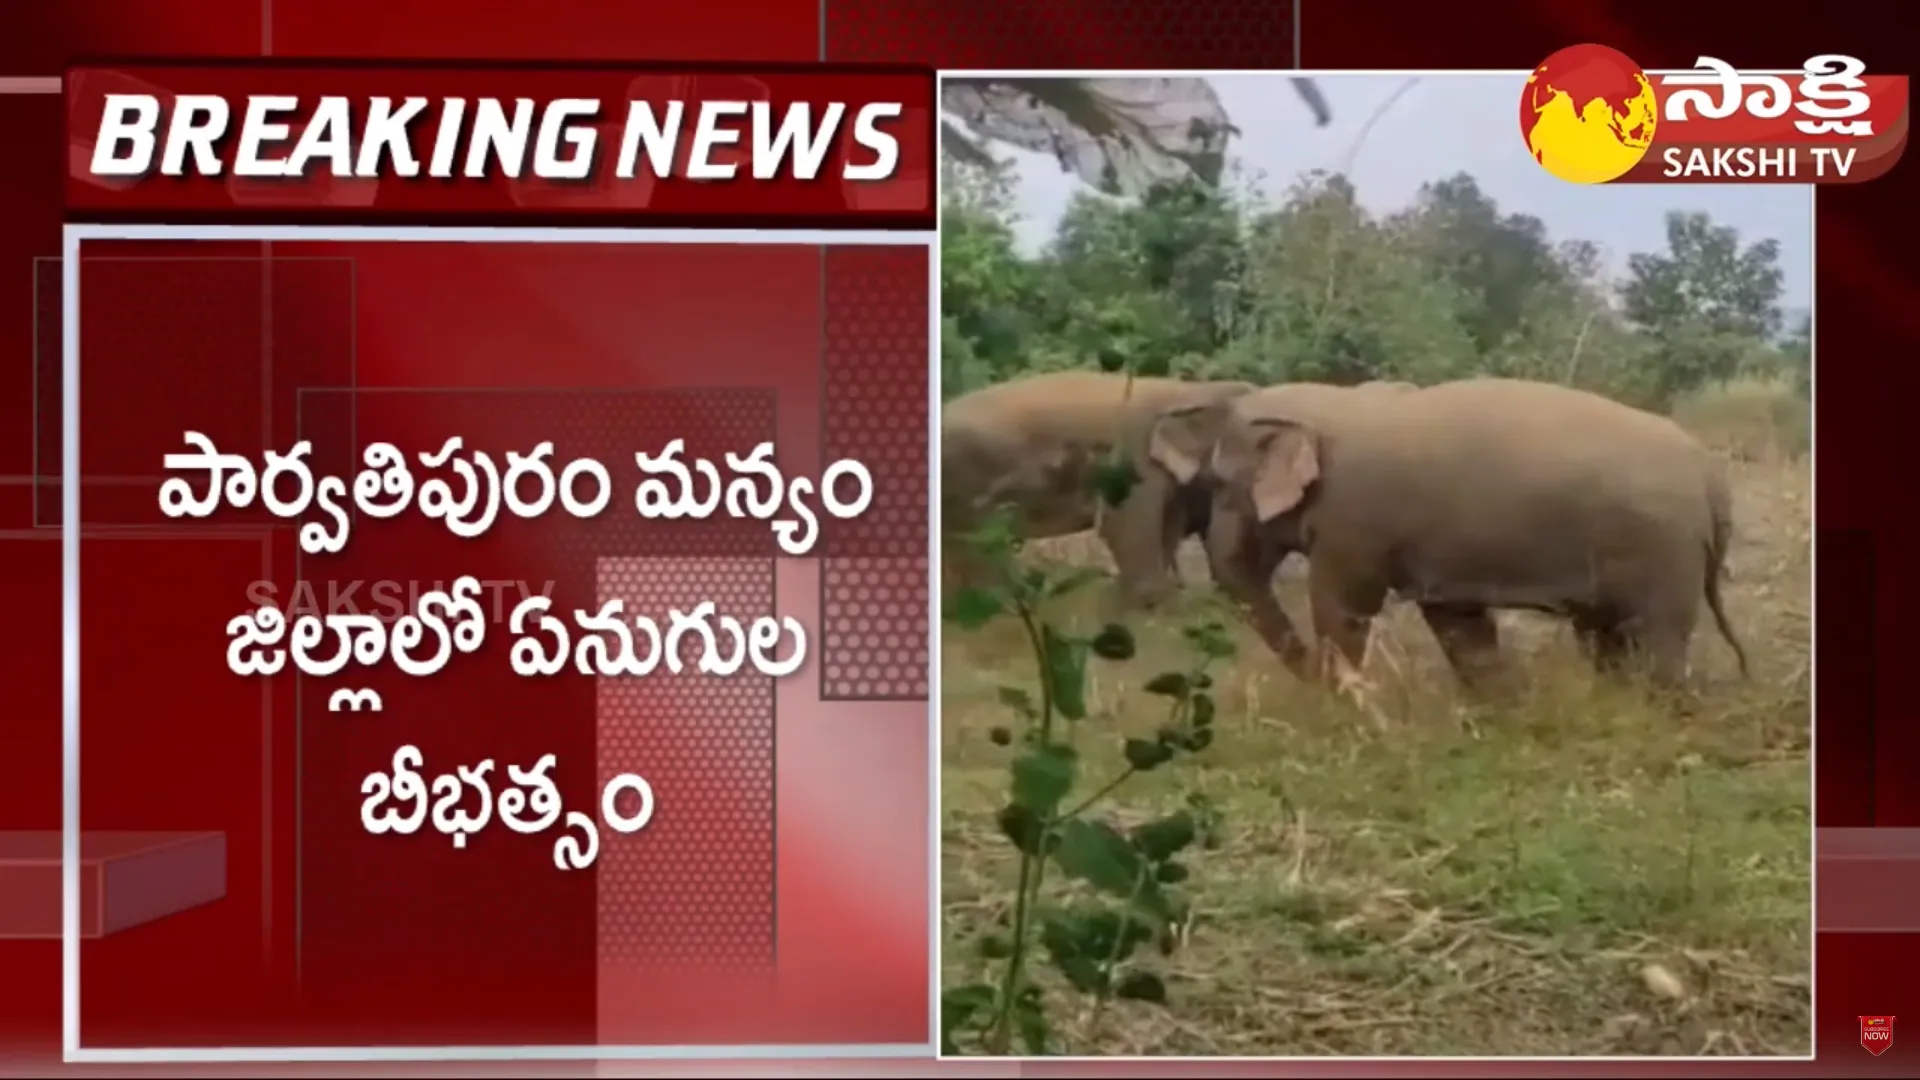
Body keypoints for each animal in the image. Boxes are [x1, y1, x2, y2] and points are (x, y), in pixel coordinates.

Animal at [1152, 374, 1758, 684]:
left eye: (1220, 484)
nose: (1310, 687)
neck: (1335, 401)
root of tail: (1713, 479)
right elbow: (1458, 623)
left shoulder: (1356, 519)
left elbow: (1342, 609)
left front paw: (1347, 705)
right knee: (1607, 633)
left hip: (1663, 549)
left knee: (1657, 634)